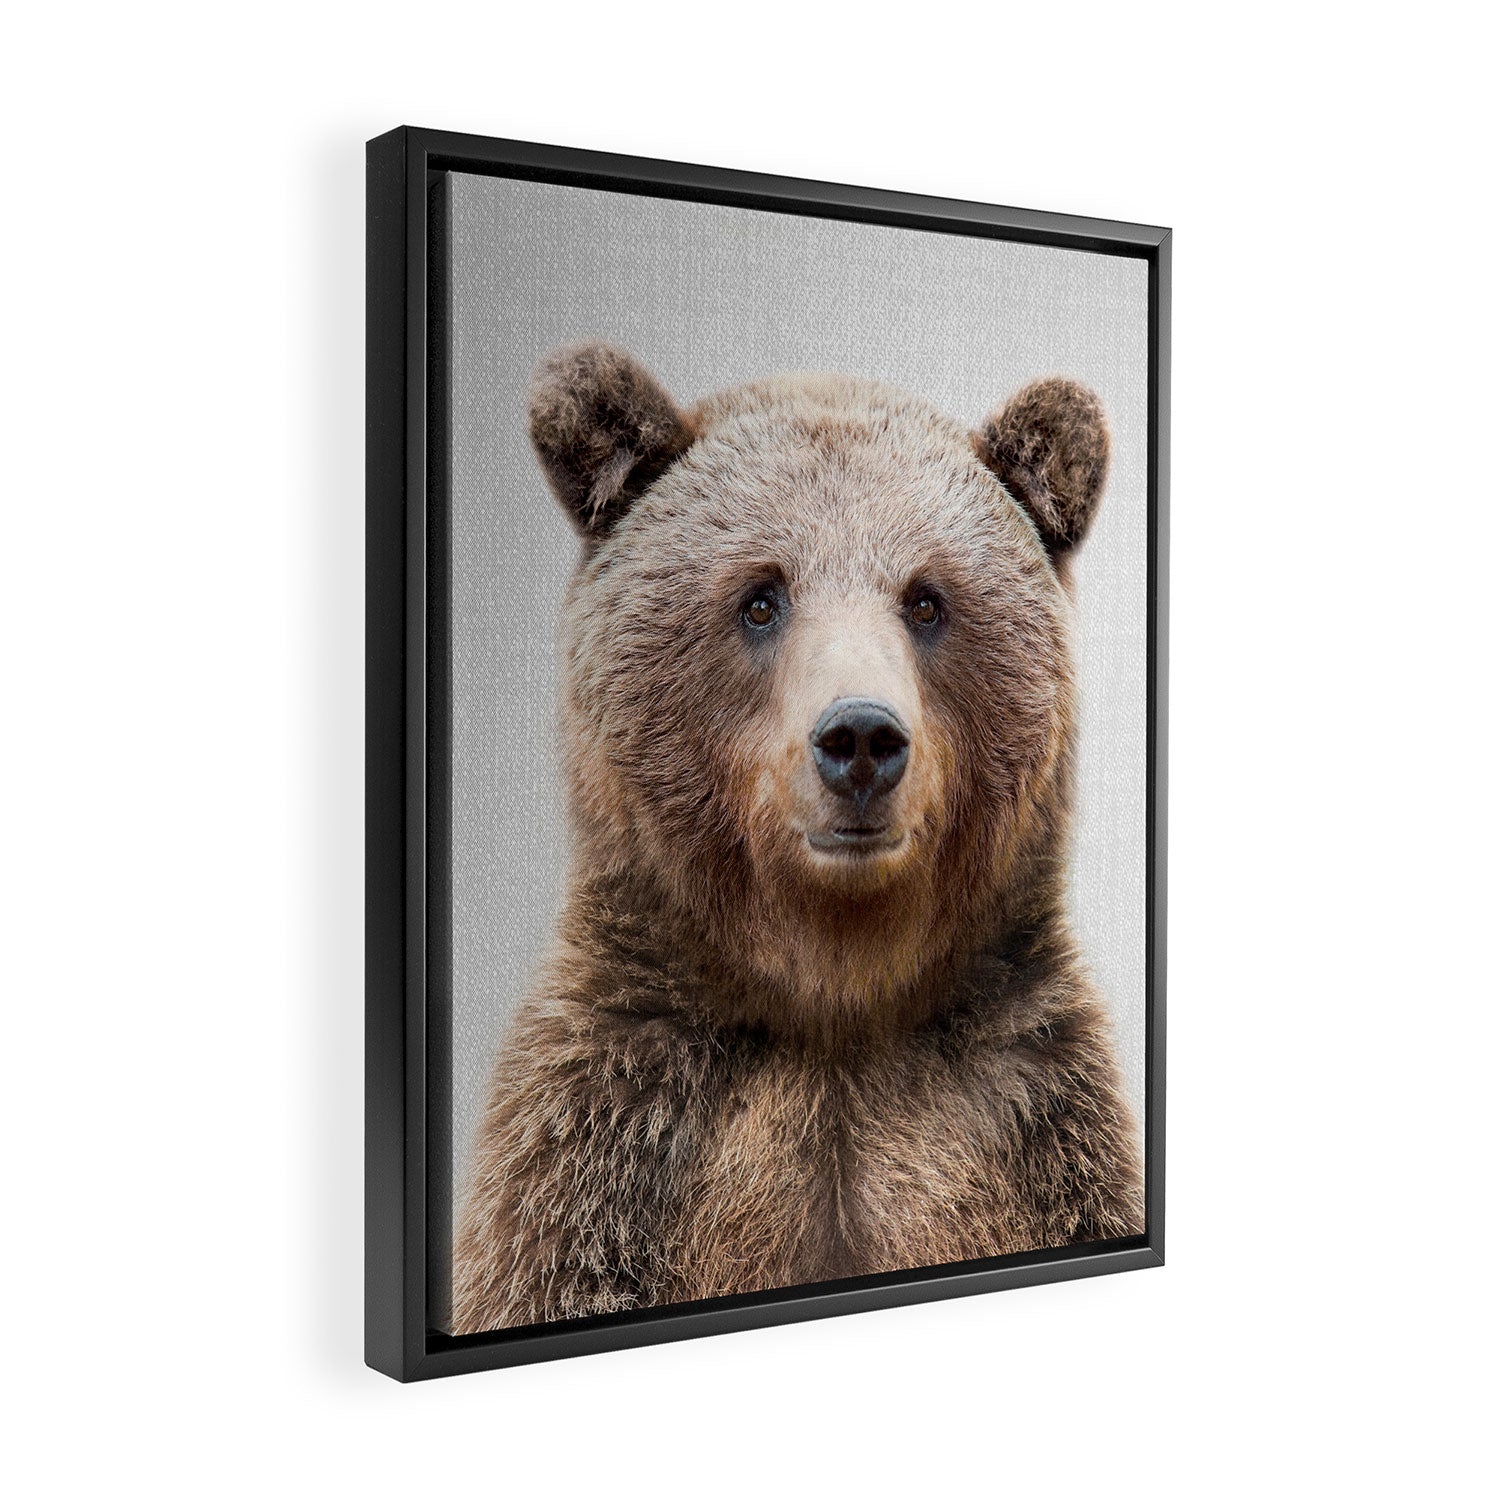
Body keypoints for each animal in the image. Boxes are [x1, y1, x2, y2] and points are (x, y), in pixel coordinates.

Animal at [450, 342, 1143, 1335]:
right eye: (760, 598)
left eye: (926, 601)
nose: (860, 739)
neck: (832, 1000)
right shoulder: (606, 1150)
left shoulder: (1036, 1127)